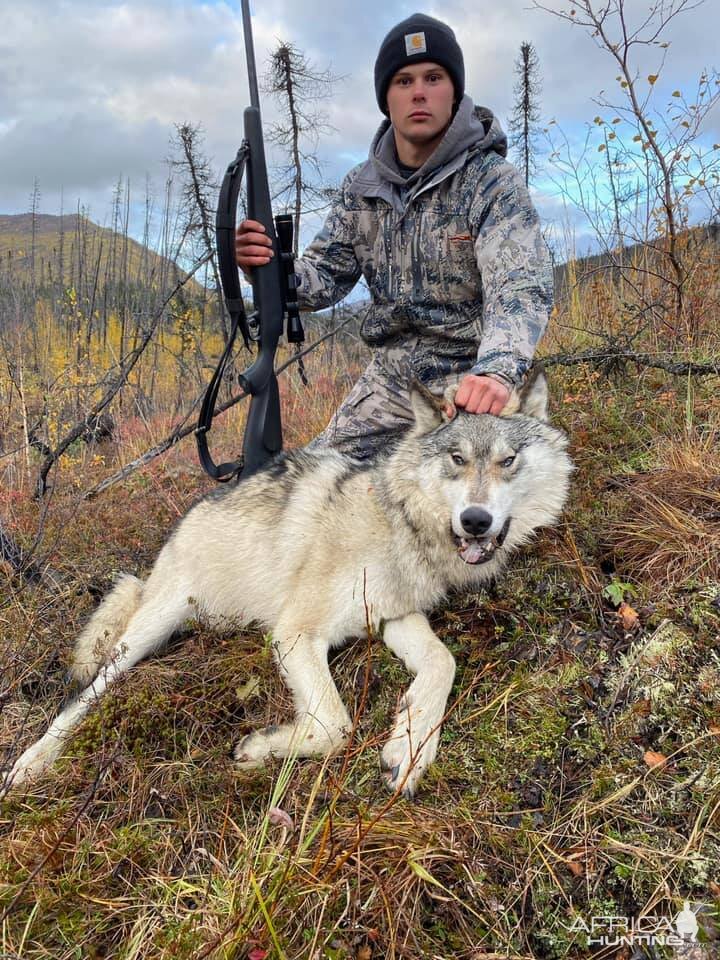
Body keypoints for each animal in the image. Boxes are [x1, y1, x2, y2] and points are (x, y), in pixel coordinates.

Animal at [2, 372, 572, 800]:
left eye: (507, 460)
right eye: (457, 459)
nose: (476, 521)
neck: (399, 523)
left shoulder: (391, 616)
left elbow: (442, 663)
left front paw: (409, 751)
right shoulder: (296, 634)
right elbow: (337, 726)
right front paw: (259, 749)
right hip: (146, 633)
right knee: (80, 700)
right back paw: (29, 766)